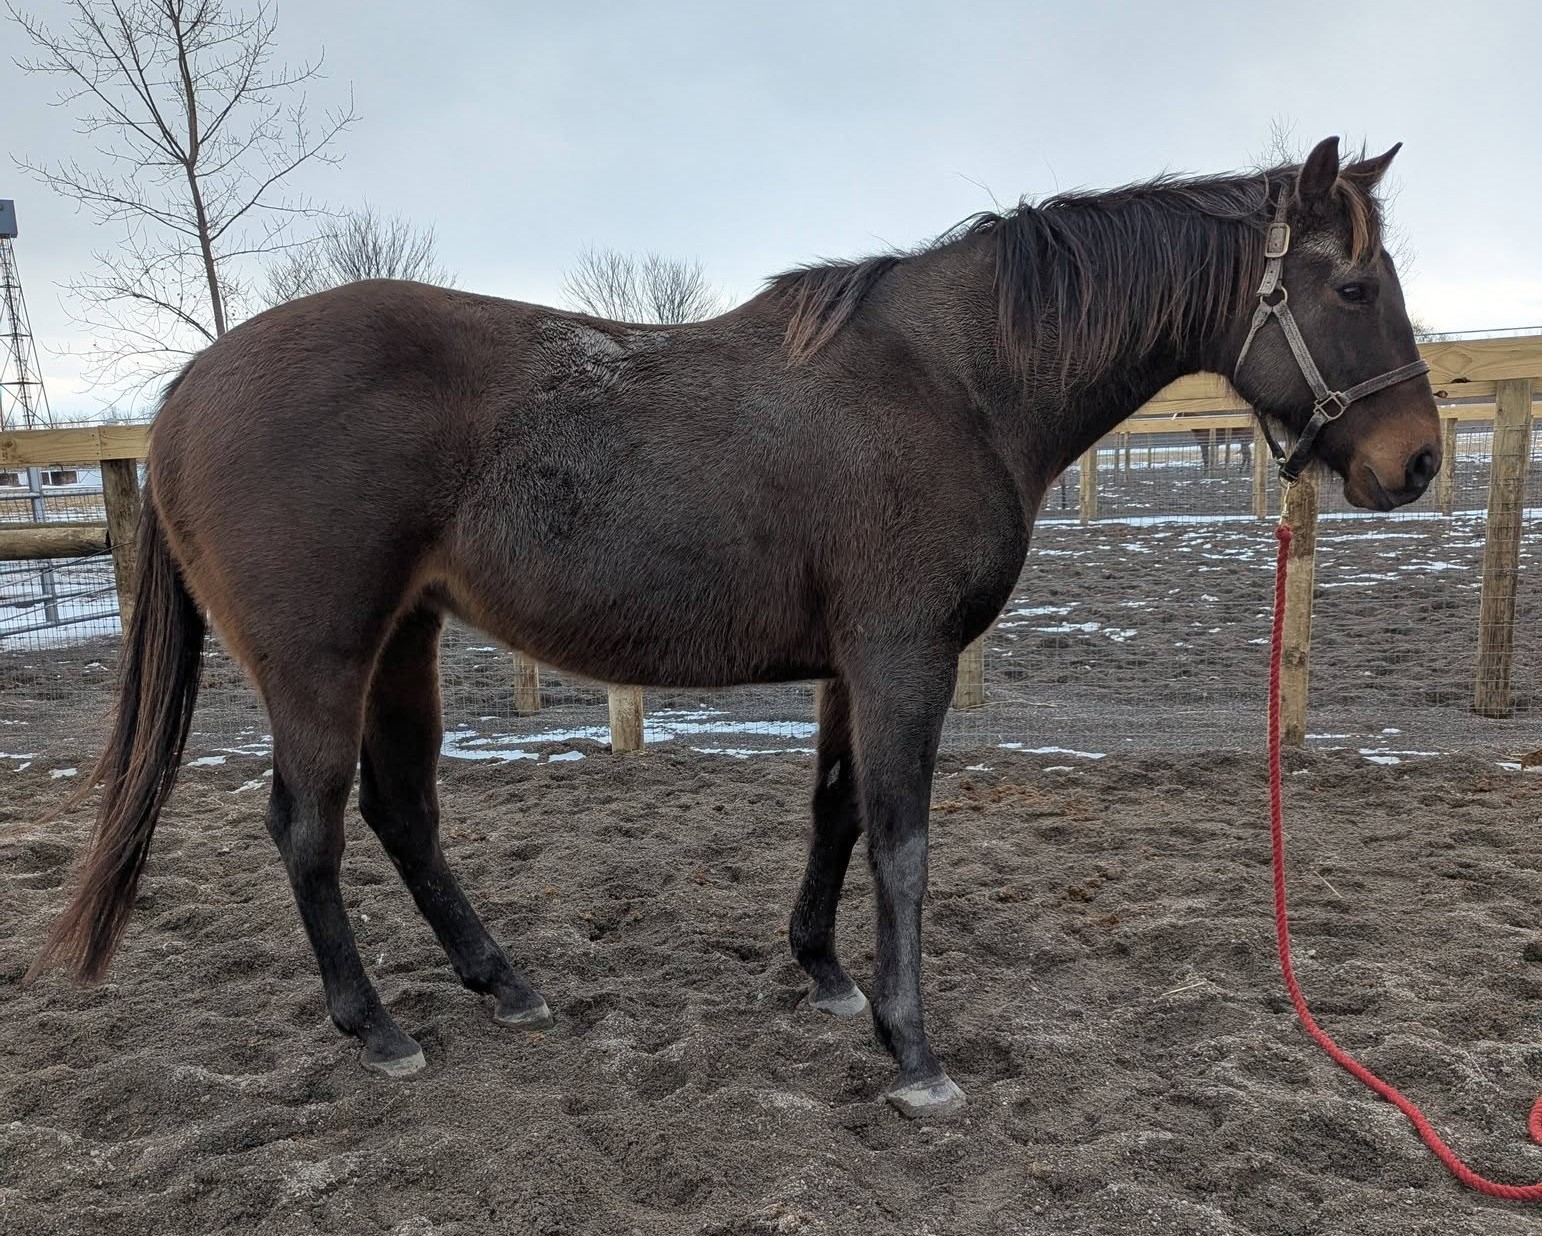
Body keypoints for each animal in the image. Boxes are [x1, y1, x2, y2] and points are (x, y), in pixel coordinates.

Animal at [28, 136, 1440, 1119]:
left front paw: (823, 974)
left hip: (406, 644)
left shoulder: (851, 666)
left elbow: (834, 812)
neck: (953, 382)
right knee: (309, 828)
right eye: (1352, 284)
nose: (1417, 461)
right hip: (320, 659)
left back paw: (505, 984)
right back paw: (375, 1027)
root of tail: (186, 391)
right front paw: (913, 1049)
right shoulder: (904, 658)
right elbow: (903, 843)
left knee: (403, 811)